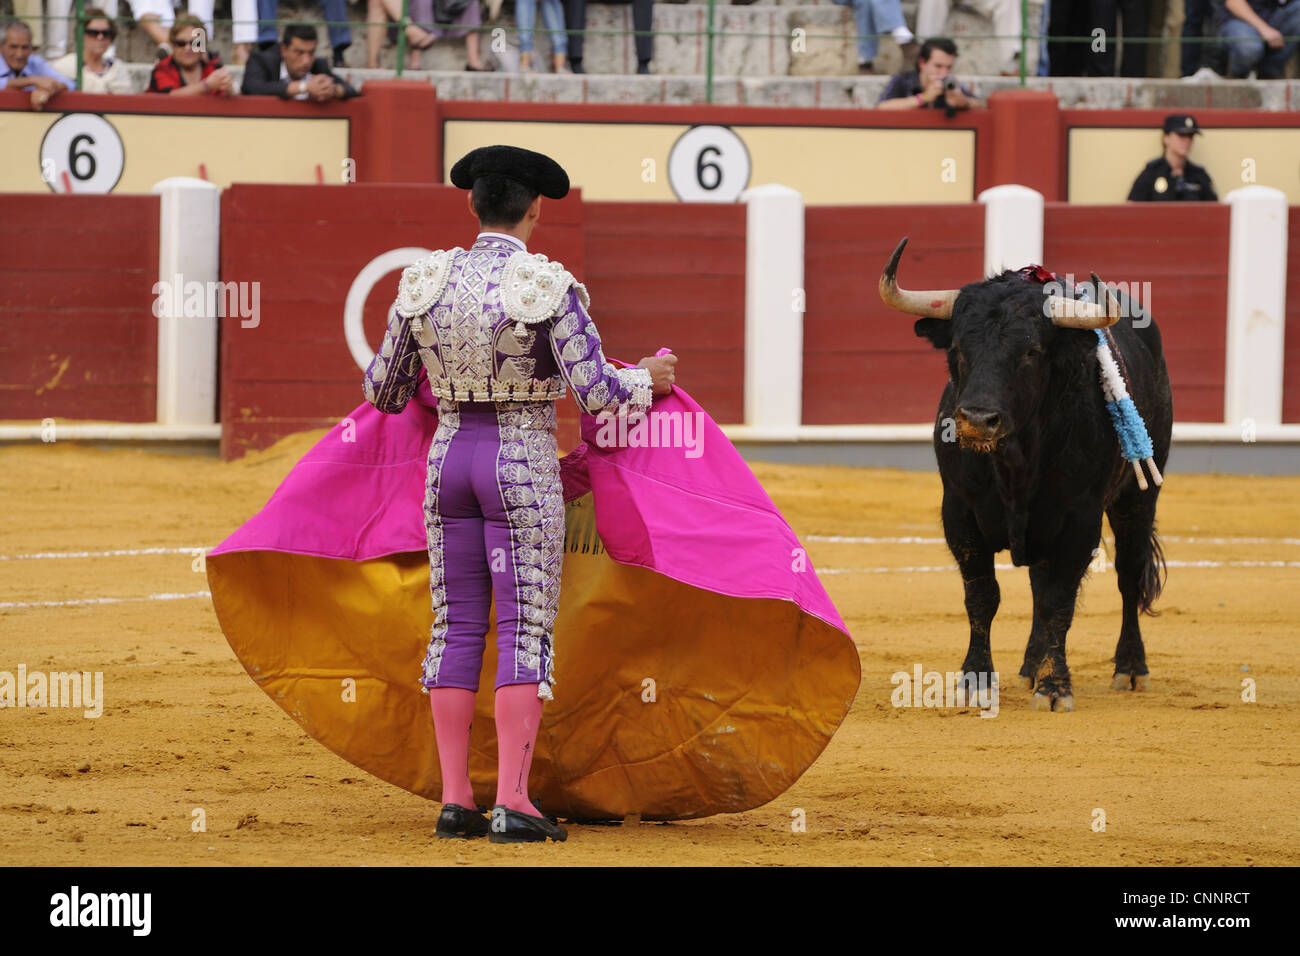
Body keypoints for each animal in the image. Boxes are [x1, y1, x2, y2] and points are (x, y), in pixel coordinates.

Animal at [878, 238, 1175, 712]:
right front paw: (975, 680)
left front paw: (1055, 689)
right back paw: (1031, 665)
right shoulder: (958, 510)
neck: (1015, 461)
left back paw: (1130, 667)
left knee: (1128, 575)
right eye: (957, 348)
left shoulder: (1080, 520)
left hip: (1139, 496)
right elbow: (984, 595)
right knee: (1039, 582)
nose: (977, 421)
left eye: (1031, 353)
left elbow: (1060, 600)